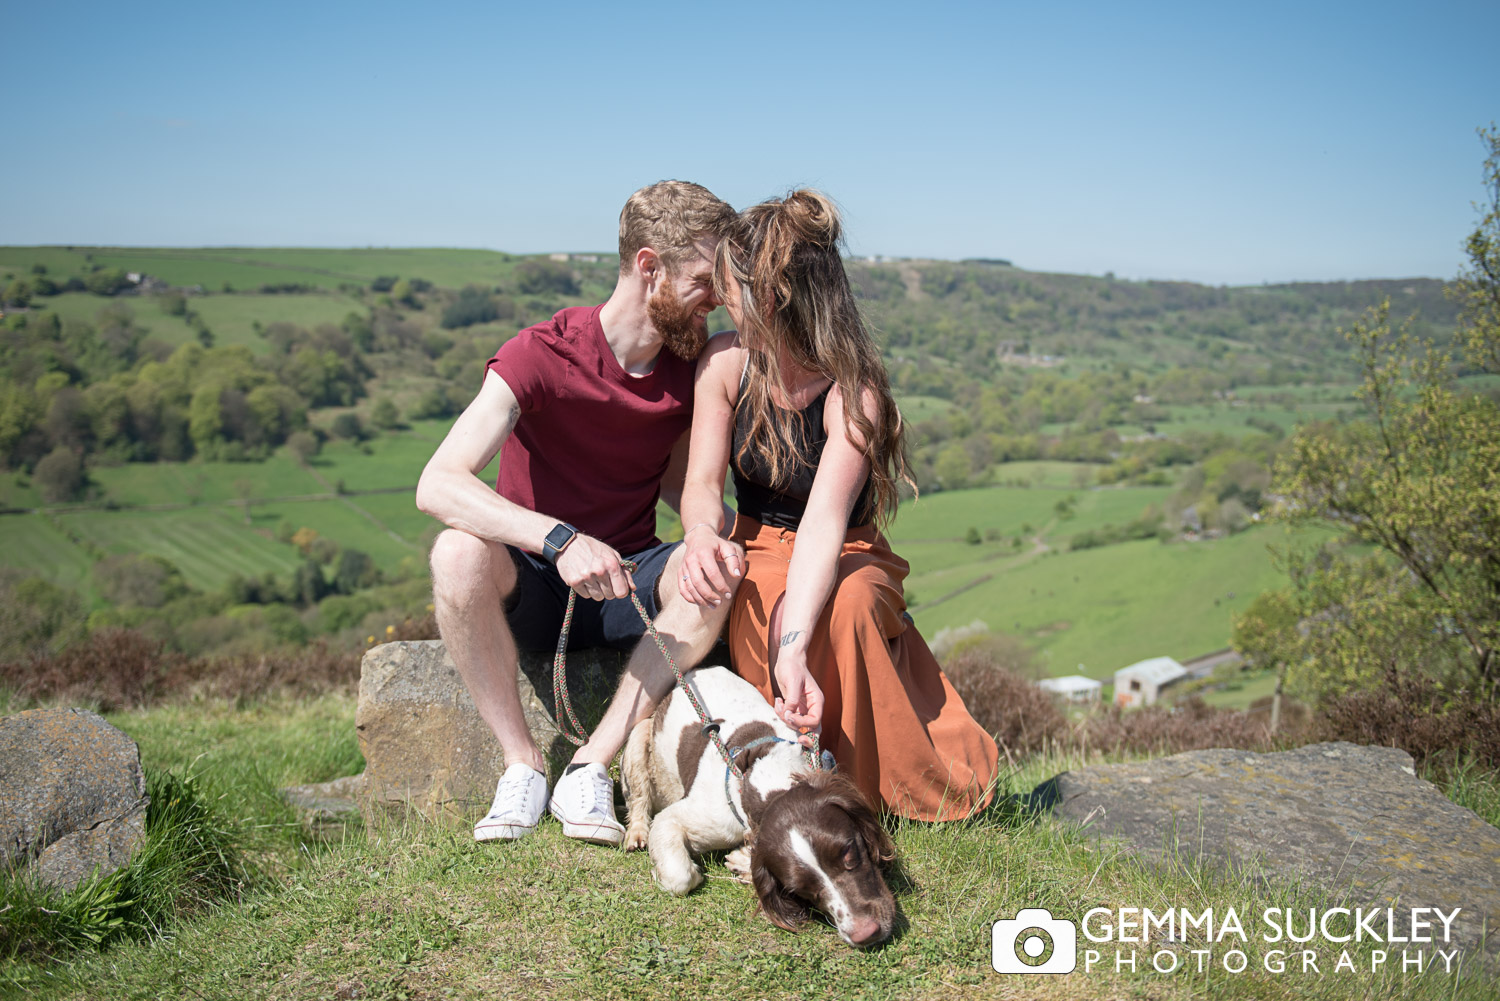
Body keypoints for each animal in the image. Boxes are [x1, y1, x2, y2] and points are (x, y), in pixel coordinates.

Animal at [618, 666, 888, 948]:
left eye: (849, 851)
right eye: (800, 888)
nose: (865, 932)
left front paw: (742, 860)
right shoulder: (681, 819)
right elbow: (679, 876)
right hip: (638, 736)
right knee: (639, 800)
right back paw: (637, 833)